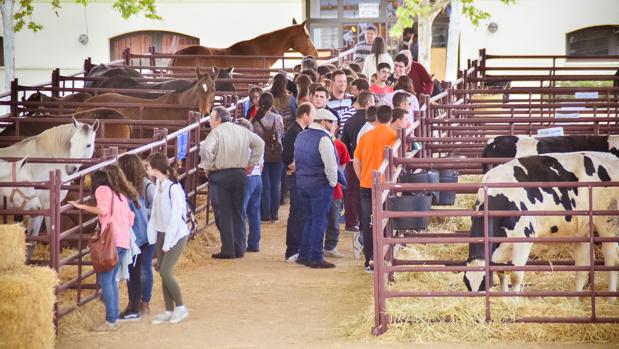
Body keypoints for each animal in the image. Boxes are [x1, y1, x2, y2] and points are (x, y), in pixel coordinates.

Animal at [464, 151, 619, 298]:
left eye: (485, 283)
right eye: (467, 284)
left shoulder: (524, 239)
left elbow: (515, 276)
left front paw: (513, 302)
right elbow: (501, 274)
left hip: (607, 223)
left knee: (611, 260)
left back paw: (610, 298)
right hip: (583, 230)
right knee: (583, 265)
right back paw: (574, 300)